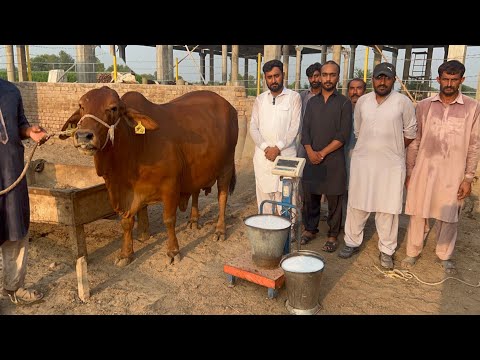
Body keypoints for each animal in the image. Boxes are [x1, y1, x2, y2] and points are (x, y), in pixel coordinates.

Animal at [61, 86, 238, 268]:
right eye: (81, 105)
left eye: (113, 108)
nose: (84, 136)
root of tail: (229, 106)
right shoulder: (127, 195)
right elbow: (126, 223)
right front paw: (126, 254)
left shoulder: (170, 187)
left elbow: (169, 220)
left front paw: (173, 251)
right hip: (198, 169)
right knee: (195, 191)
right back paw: (194, 220)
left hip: (226, 167)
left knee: (222, 198)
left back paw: (220, 230)